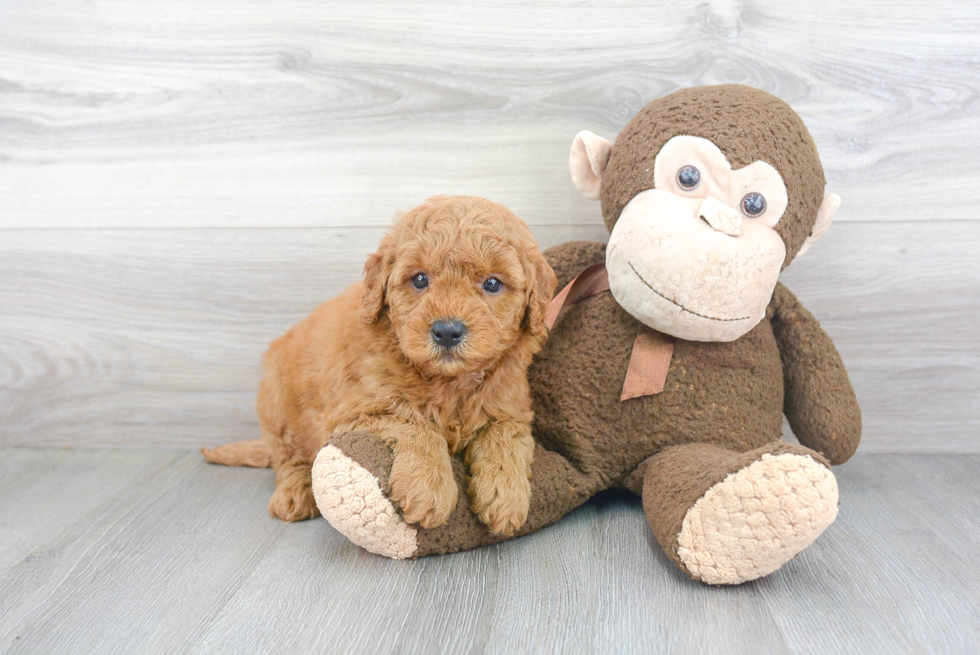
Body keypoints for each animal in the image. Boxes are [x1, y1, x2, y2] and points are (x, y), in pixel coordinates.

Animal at [203, 195, 556, 540]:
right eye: (419, 279)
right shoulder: (355, 410)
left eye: (493, 284)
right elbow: (414, 423)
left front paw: (505, 496)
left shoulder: (510, 407)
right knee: (288, 457)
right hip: (277, 404)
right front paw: (428, 489)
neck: (447, 382)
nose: (446, 331)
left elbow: (505, 438)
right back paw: (295, 493)